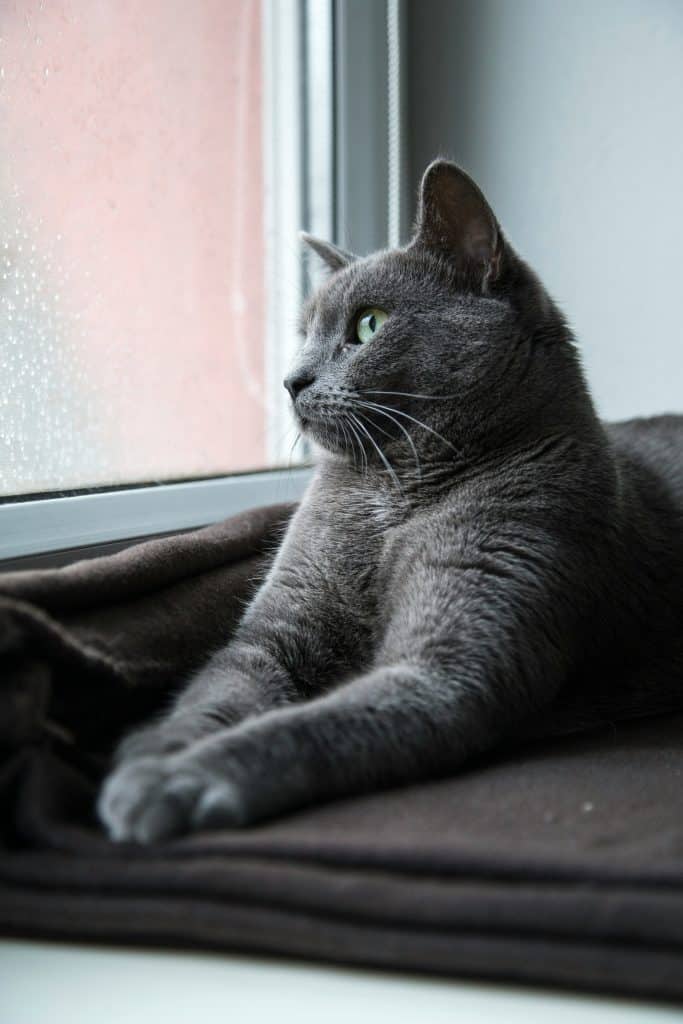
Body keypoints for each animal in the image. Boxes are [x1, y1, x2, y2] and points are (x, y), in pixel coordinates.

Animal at [97, 159, 683, 843]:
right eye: (304, 333)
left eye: (369, 324)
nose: (291, 380)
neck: (392, 495)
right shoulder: (274, 630)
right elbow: (217, 691)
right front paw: (155, 749)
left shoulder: (451, 662)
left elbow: (307, 728)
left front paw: (174, 781)